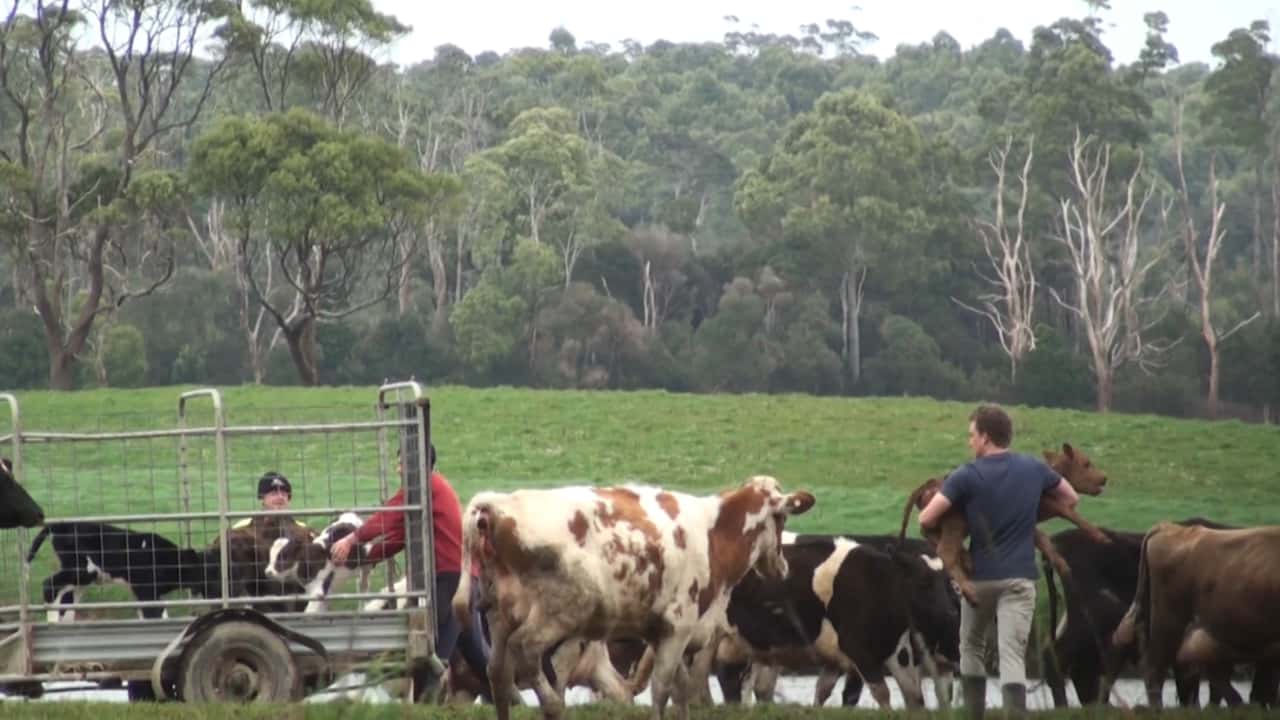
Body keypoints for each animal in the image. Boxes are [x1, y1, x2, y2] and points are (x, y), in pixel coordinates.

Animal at [450, 474, 808, 712]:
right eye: (780, 517)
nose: (781, 567)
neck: (715, 533)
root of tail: (498, 504)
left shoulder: (665, 633)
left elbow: (679, 690)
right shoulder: (678, 627)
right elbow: (662, 690)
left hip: (500, 616)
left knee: (497, 675)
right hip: (557, 614)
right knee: (525, 651)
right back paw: (552, 704)